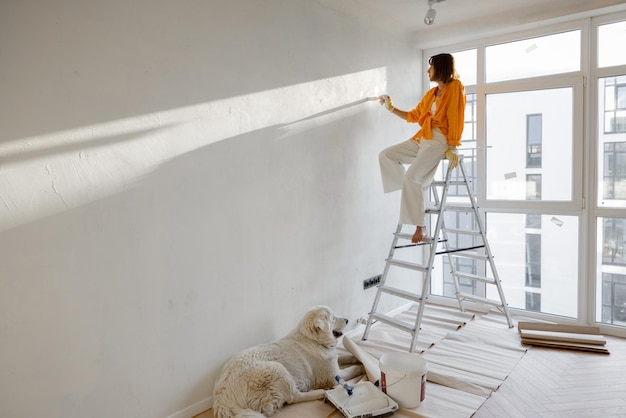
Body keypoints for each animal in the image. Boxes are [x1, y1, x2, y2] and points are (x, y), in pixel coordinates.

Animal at [212, 306, 364, 416]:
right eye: (333, 319)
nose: (347, 319)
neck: (312, 339)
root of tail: (222, 399)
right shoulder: (332, 376)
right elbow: (351, 370)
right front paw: (362, 367)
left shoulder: (334, 360)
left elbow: (343, 357)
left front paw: (357, 357)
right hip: (278, 370)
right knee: (293, 397)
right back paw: (320, 393)